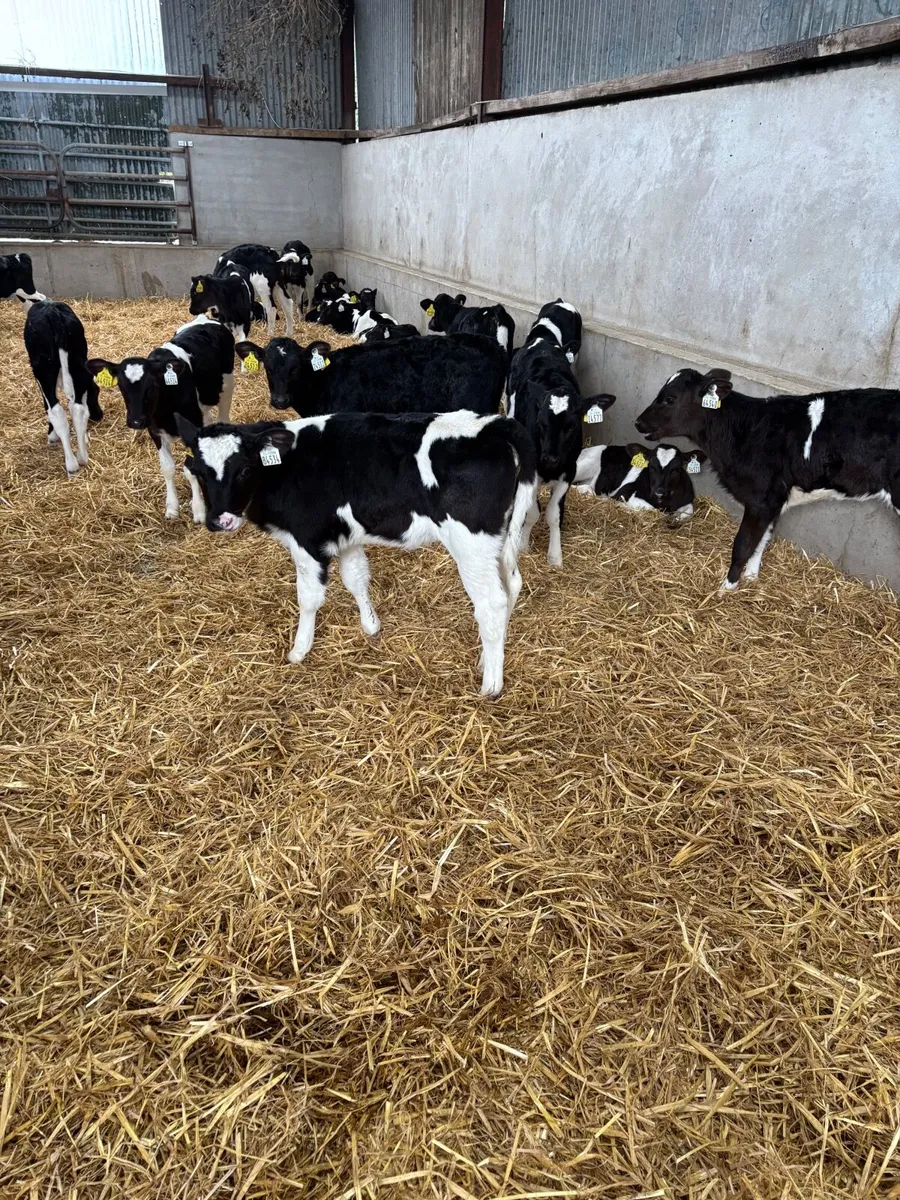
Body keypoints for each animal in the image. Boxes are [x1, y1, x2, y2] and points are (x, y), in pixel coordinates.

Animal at [23, 300, 103, 476]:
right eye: (96, 391)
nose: (99, 415)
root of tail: (52, 311)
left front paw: (52, 435)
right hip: (79, 365)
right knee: (78, 410)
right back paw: (82, 457)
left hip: (43, 370)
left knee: (56, 411)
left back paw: (72, 464)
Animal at [87, 320, 235, 522]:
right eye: (121, 387)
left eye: (152, 386)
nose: (135, 422)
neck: (165, 411)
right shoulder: (154, 431)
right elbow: (167, 468)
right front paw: (172, 507)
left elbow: (190, 469)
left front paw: (198, 509)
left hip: (227, 388)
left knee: (223, 418)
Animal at [176, 409, 538, 696]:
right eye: (200, 472)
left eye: (244, 469)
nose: (219, 520)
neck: (286, 466)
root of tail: (496, 424)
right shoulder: (347, 537)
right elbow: (356, 579)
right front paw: (371, 626)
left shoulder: (307, 541)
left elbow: (309, 598)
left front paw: (299, 650)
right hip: (499, 539)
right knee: (512, 585)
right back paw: (487, 659)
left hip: (471, 543)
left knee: (492, 602)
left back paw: (491, 684)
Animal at [574, 442, 706, 520]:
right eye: (651, 467)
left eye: (676, 469)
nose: (659, 492)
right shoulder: (625, 493)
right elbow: (654, 511)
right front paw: (622, 506)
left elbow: (689, 511)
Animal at [634, 367, 900, 589]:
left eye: (670, 399)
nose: (638, 422)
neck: (743, 430)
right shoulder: (774, 500)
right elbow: (762, 539)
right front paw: (751, 577)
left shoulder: (760, 498)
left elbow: (743, 544)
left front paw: (727, 588)